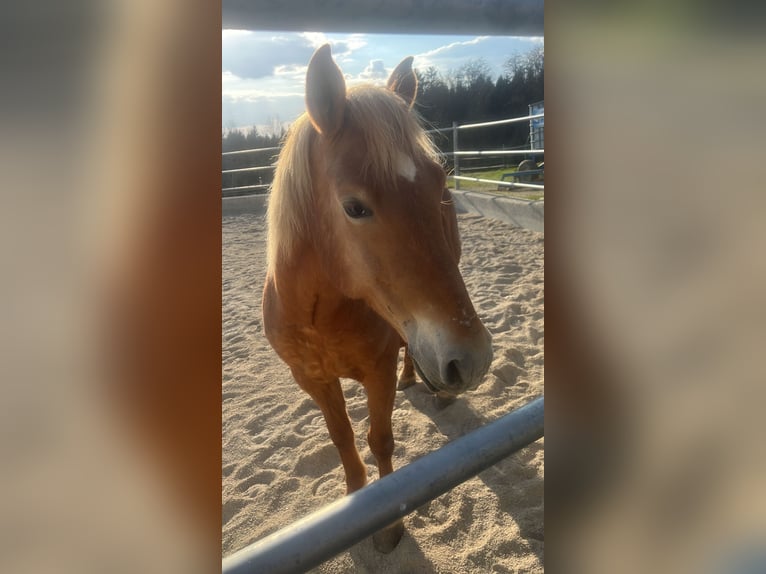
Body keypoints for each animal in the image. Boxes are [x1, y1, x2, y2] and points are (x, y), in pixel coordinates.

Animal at [262, 44, 493, 552]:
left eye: (437, 184)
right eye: (355, 207)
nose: (472, 359)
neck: (320, 316)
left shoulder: (378, 371)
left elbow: (379, 439)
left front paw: (386, 527)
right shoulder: (312, 380)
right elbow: (342, 439)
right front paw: (355, 501)